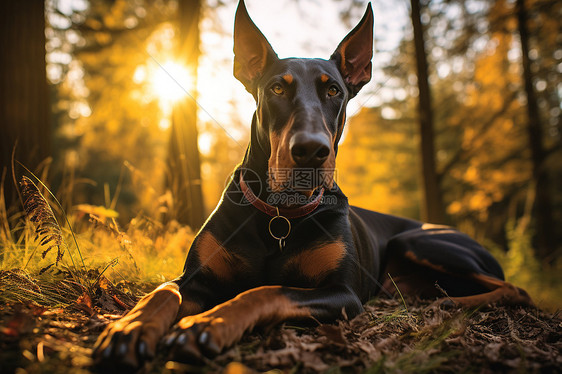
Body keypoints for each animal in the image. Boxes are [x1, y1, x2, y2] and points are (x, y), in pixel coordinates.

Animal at [92, 0, 528, 368]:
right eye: (276, 88)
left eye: (333, 89)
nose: (310, 151)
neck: (281, 212)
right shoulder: (197, 277)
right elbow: (165, 290)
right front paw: (130, 327)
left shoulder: (342, 293)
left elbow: (266, 290)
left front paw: (208, 324)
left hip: (419, 241)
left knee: (516, 290)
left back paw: (454, 304)